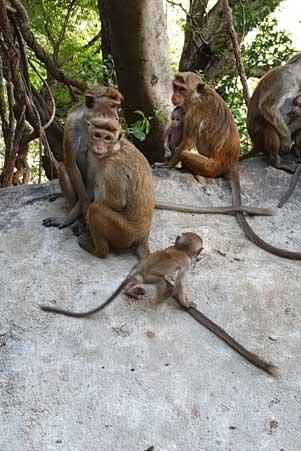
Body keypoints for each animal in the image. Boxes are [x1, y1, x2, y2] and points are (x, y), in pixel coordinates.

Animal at [39, 233, 278, 378]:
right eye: (198, 252)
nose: (199, 257)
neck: (178, 248)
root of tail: (138, 269)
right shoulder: (186, 264)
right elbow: (181, 282)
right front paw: (187, 303)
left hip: (138, 274)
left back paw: (130, 290)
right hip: (150, 276)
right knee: (163, 282)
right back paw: (162, 297)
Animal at [42, 85, 123, 231]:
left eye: (116, 107)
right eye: (112, 106)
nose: (117, 118)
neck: (89, 121)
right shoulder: (71, 125)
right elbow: (71, 163)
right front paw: (79, 210)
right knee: (62, 167)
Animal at [73, 116, 155, 260]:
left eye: (107, 138)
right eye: (97, 135)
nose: (99, 147)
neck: (114, 150)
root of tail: (143, 236)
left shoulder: (111, 169)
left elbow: (116, 203)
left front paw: (85, 219)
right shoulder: (92, 157)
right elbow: (89, 190)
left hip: (125, 233)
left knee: (95, 209)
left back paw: (98, 250)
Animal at [154, 72, 300, 260]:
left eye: (182, 89)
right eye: (175, 87)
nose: (174, 96)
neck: (197, 96)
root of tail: (232, 160)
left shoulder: (193, 112)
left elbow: (187, 143)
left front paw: (166, 165)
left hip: (213, 166)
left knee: (187, 154)